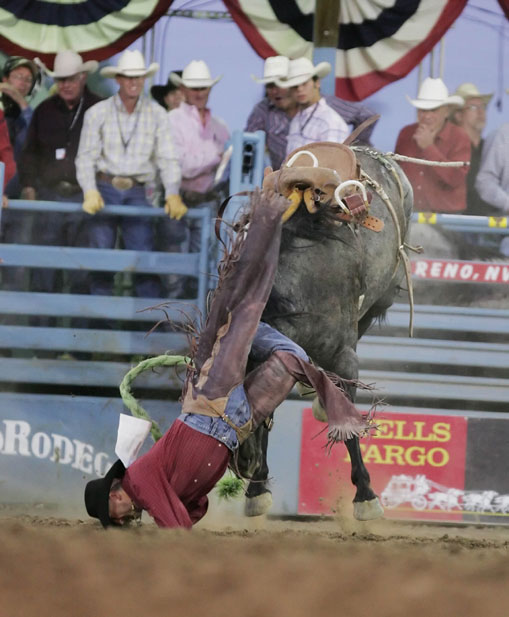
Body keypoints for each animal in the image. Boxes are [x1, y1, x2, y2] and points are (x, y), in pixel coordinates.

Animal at [236, 142, 414, 521]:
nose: (244, 462)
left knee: (366, 316)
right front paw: (257, 490)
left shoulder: (344, 359)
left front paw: (366, 497)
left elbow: (348, 423)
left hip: (384, 293)